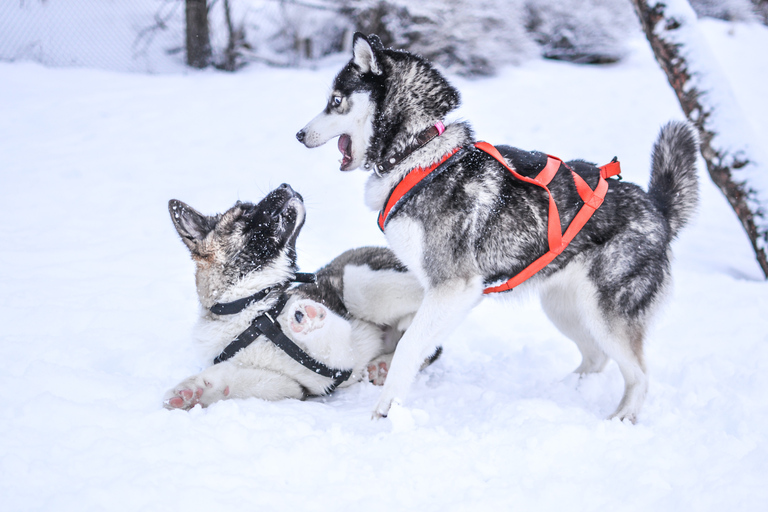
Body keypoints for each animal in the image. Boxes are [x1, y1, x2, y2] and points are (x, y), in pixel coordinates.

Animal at [165, 183, 426, 408]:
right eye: (246, 212)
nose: (285, 185)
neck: (250, 309)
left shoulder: (345, 350)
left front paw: (310, 320)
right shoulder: (290, 386)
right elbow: (235, 379)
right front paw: (194, 392)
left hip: (358, 283)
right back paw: (383, 365)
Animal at [296, 34, 704, 422]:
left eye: (335, 101)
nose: (299, 134)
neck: (418, 152)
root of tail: (657, 209)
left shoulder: (453, 286)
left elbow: (409, 345)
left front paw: (385, 410)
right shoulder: (444, 292)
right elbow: (415, 338)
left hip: (607, 316)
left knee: (639, 375)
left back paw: (622, 417)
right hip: (563, 308)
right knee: (596, 358)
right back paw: (565, 390)